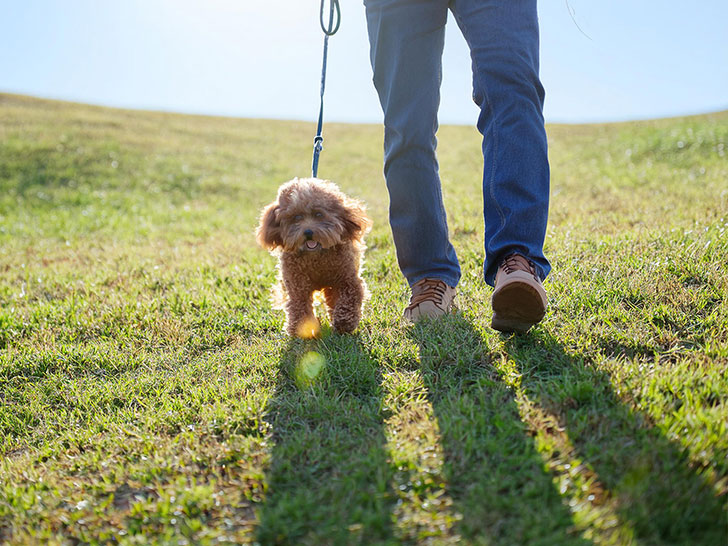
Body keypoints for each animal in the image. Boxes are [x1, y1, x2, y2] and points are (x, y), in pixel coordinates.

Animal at [256, 178, 370, 334]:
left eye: (318, 214)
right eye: (297, 217)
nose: (308, 232)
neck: (316, 257)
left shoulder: (347, 280)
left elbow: (349, 298)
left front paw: (344, 322)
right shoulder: (297, 286)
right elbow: (299, 305)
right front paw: (300, 328)